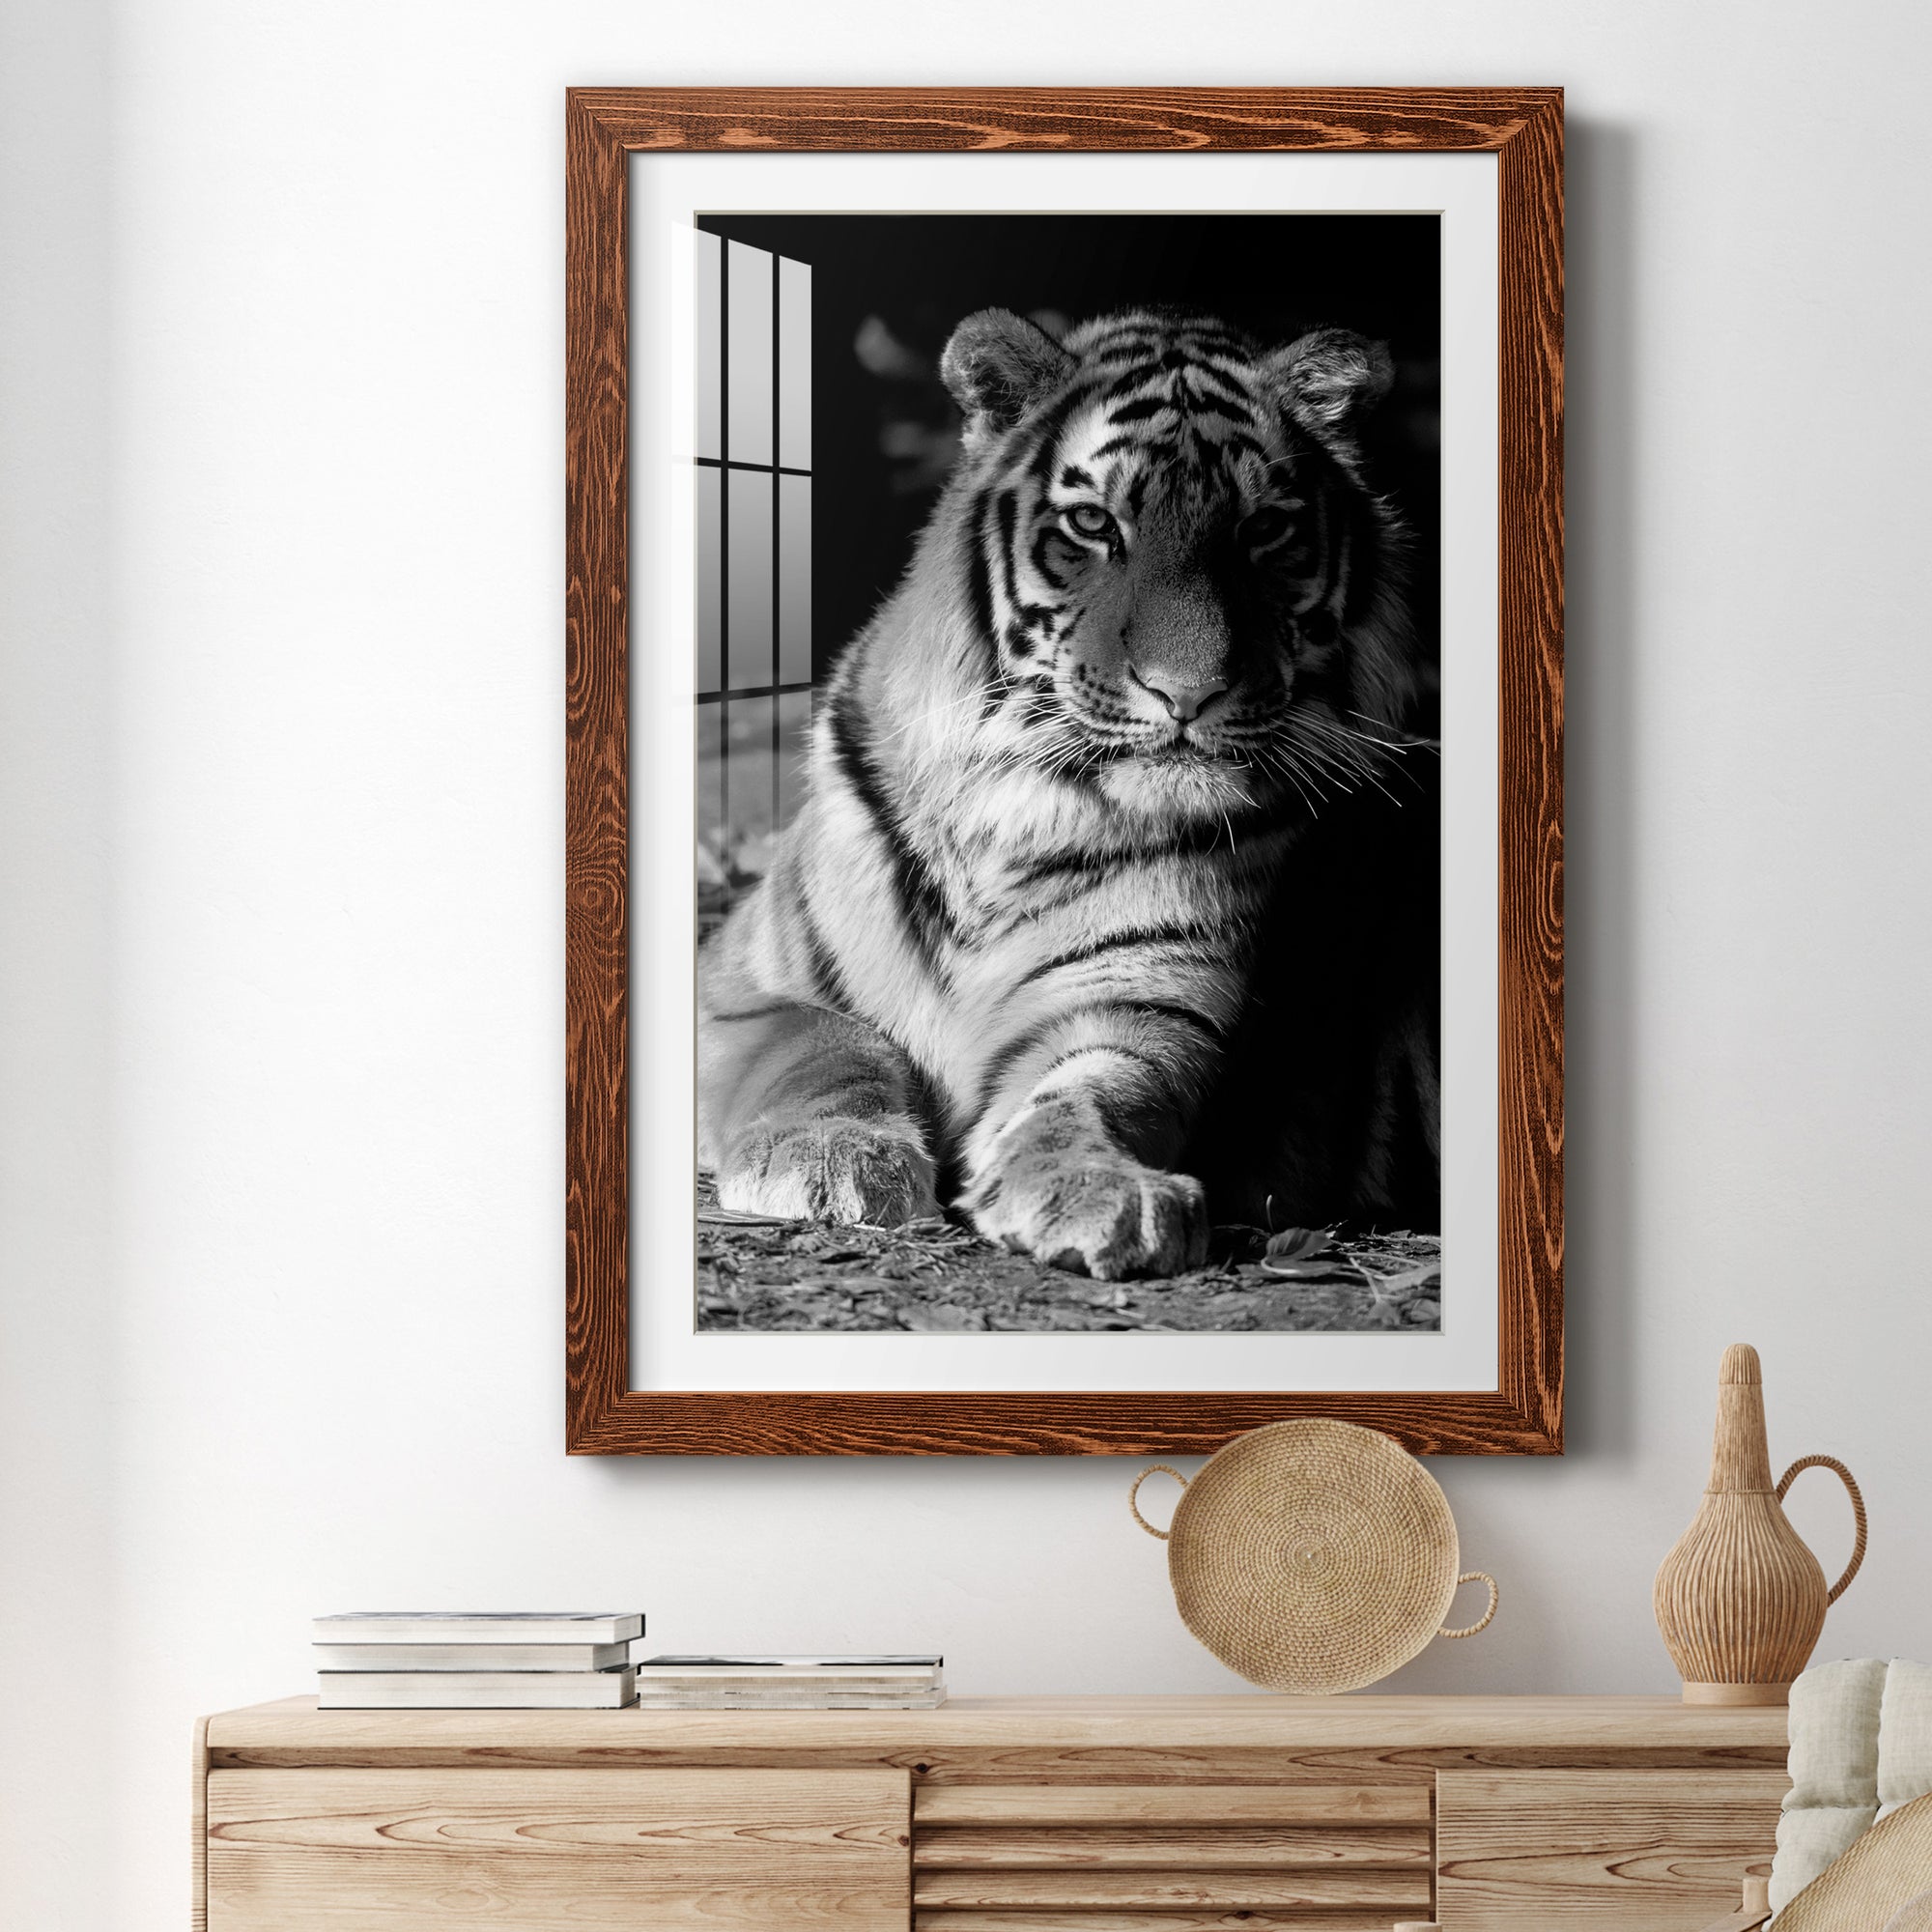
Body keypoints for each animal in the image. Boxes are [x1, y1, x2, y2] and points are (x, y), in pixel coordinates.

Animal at [696, 306, 1438, 1281]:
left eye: (1263, 531)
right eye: (1093, 524)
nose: (1188, 693)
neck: (1016, 812)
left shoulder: (1140, 1005)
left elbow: (1094, 1094)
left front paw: (1100, 1189)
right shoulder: (740, 983)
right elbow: (826, 1045)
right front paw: (829, 1159)